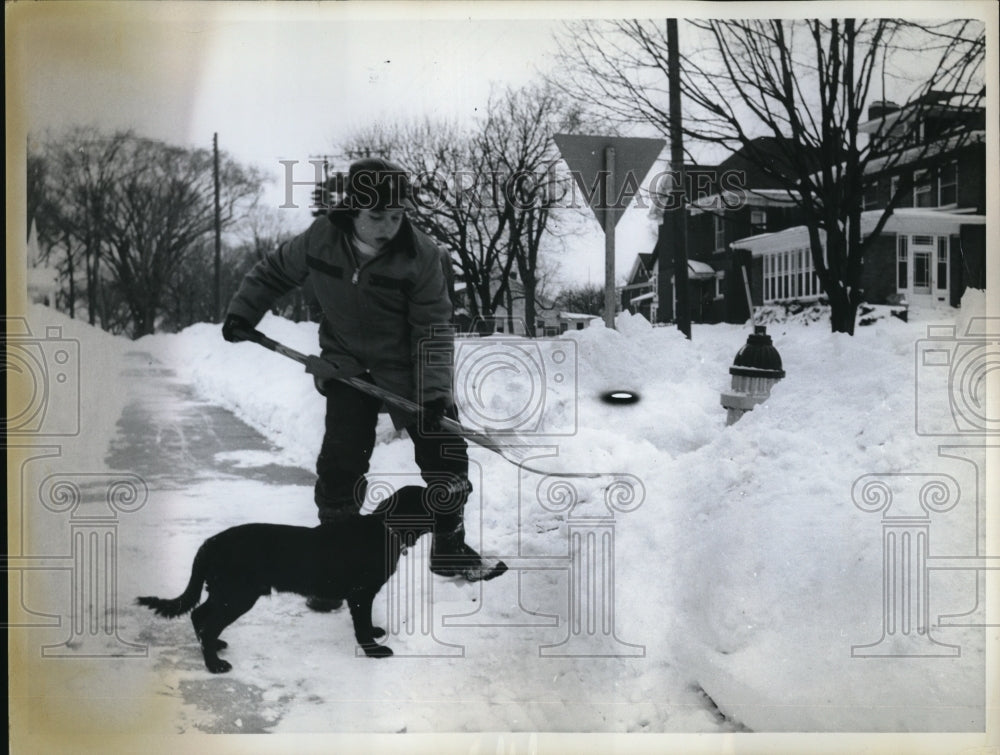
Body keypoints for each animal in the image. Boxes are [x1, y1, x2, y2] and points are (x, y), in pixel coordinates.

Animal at [137, 484, 438, 672]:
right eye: (433, 497)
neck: (385, 530)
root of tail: (209, 543)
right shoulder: (361, 594)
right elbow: (361, 626)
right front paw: (374, 651)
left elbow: (367, 623)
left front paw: (375, 632)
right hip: (237, 595)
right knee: (208, 623)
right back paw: (215, 665)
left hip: (226, 592)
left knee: (199, 615)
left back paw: (215, 647)